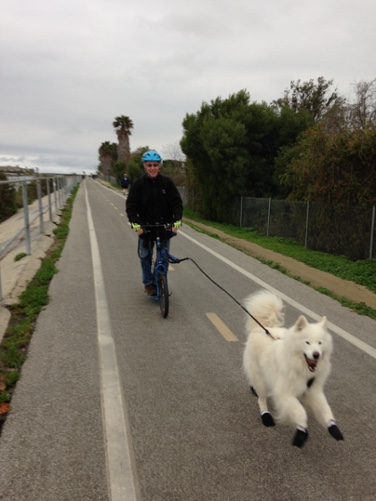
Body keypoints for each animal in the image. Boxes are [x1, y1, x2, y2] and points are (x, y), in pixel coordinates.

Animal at [242, 288, 346, 448]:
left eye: (320, 343)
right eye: (307, 342)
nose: (316, 355)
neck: (302, 368)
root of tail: (261, 328)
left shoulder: (314, 391)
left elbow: (326, 410)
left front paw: (333, 427)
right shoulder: (284, 393)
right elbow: (300, 412)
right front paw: (301, 432)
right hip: (259, 377)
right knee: (261, 398)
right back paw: (266, 415)